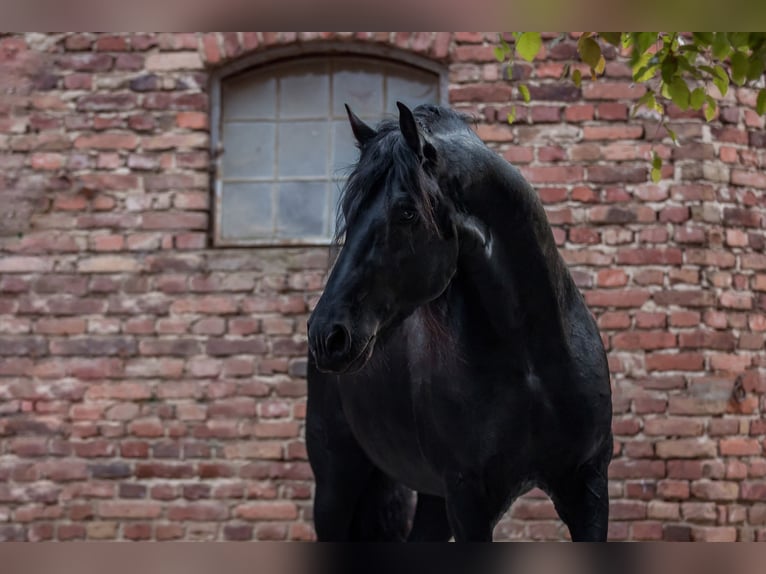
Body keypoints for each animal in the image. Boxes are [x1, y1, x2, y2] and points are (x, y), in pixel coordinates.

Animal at [308, 101, 616, 544]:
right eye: (350, 212)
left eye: (406, 212)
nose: (327, 335)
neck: (531, 365)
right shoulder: (468, 500)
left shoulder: (588, 487)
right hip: (337, 482)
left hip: (430, 498)